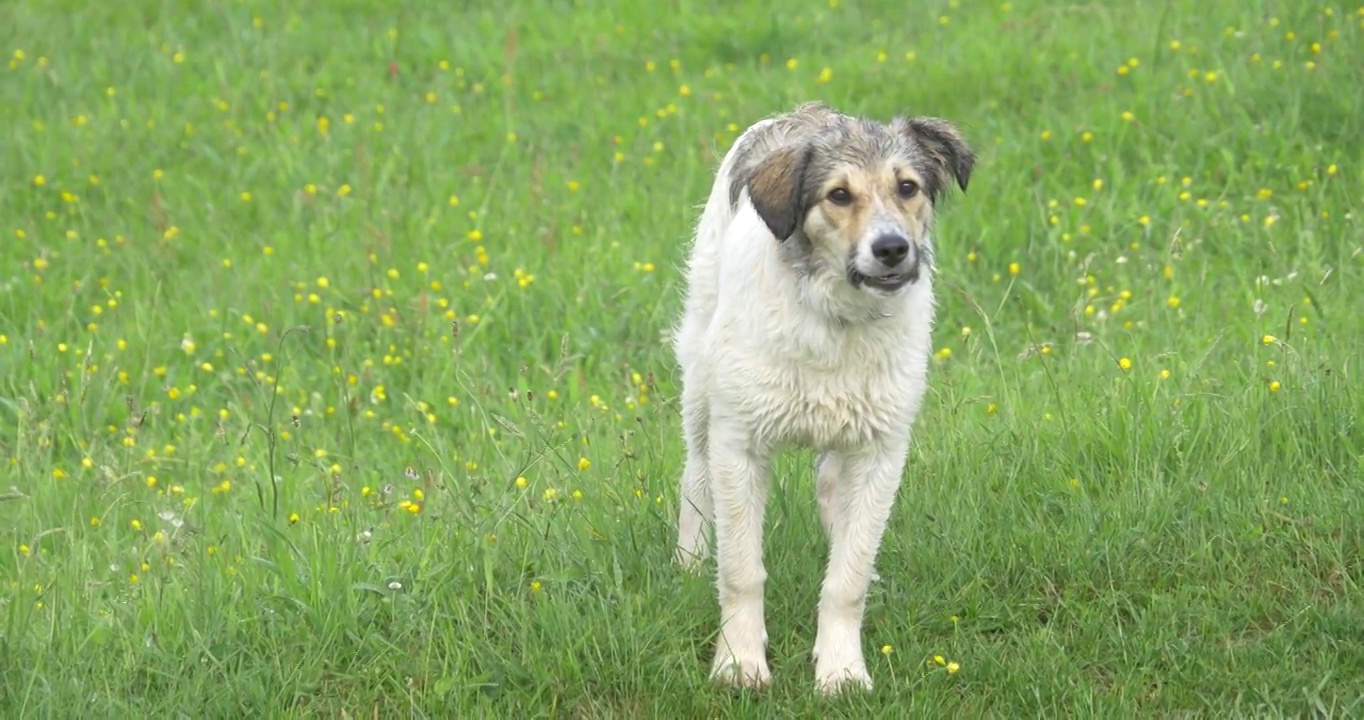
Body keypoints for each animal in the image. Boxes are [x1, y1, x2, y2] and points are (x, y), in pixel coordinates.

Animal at [668, 99, 971, 692]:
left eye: (907, 186)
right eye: (838, 195)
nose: (892, 248)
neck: (835, 319)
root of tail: (806, 110)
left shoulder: (881, 450)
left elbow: (846, 577)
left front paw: (841, 670)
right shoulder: (738, 445)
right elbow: (741, 570)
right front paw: (739, 663)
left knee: (833, 491)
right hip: (700, 379)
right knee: (694, 476)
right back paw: (688, 562)